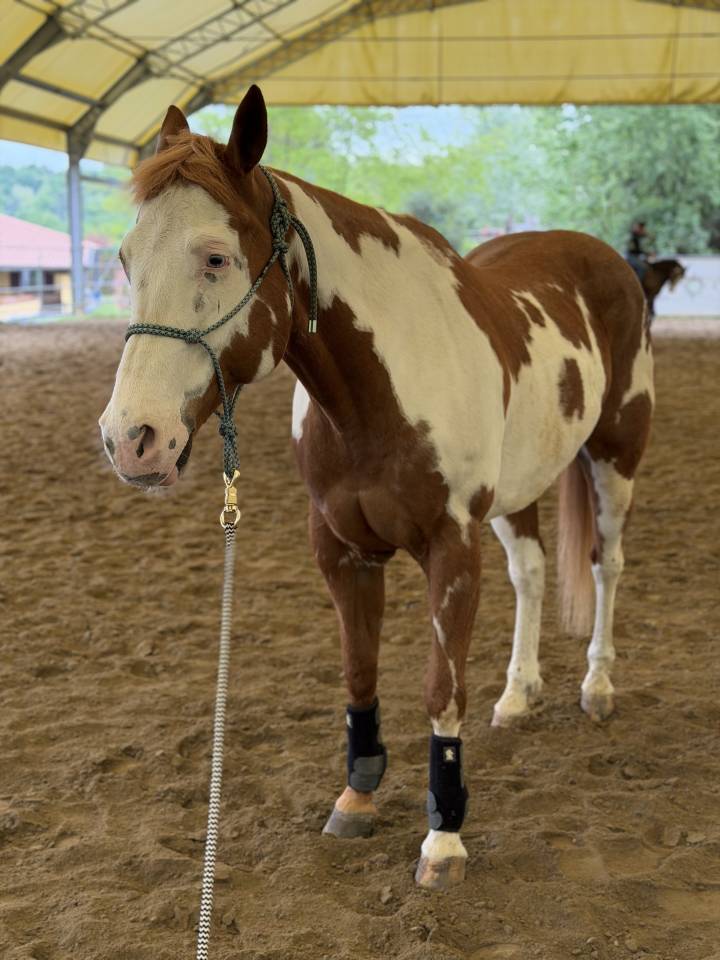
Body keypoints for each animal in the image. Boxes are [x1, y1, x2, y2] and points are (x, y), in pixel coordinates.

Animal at [99, 86, 654, 891]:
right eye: (125, 257)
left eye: (215, 258)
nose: (131, 438)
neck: (377, 392)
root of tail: (606, 259)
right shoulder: (341, 550)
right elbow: (360, 672)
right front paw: (357, 796)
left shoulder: (451, 550)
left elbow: (440, 688)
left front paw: (444, 836)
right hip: (521, 489)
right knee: (532, 572)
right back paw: (518, 695)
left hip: (615, 459)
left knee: (605, 565)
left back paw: (598, 688)